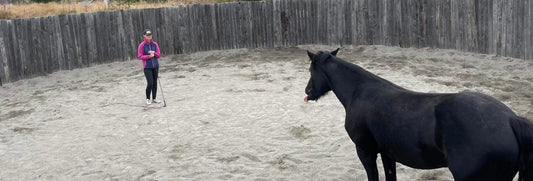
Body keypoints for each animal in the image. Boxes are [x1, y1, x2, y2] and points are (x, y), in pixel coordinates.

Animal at [304, 48, 532, 181]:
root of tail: (510, 119)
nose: (307, 92)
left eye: (311, 70)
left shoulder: (365, 151)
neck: (360, 92)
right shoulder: (387, 153)